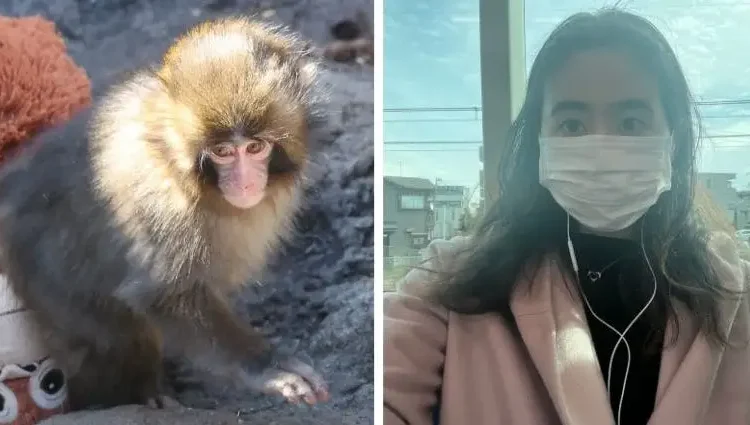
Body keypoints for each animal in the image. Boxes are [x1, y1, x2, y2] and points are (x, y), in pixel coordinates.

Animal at [0, 16, 330, 410]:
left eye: (254, 148)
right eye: (222, 152)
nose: (245, 182)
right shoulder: (166, 210)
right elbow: (163, 296)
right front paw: (268, 367)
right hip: (45, 275)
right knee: (112, 338)